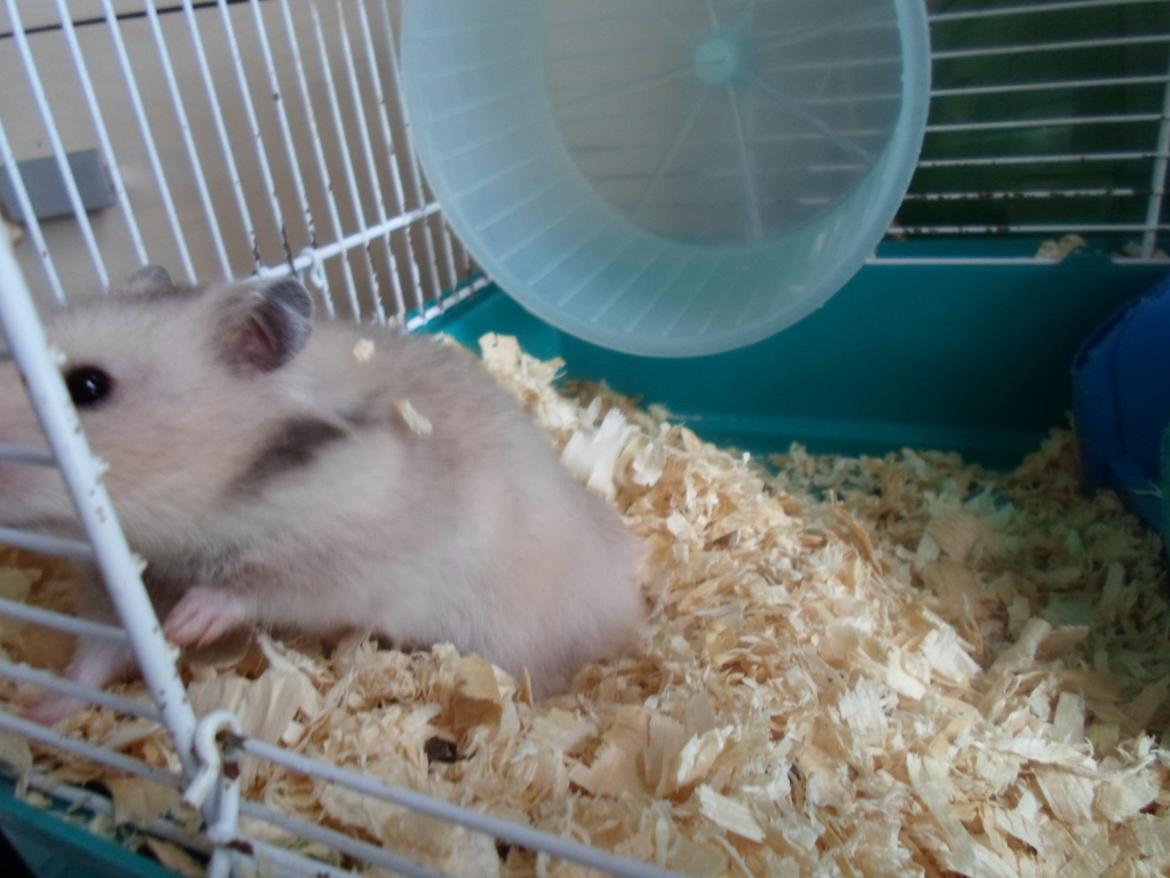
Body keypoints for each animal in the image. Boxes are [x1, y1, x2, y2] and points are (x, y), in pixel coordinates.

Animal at [0, 267, 646, 723]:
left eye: (86, 385)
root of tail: (631, 604)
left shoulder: (341, 551)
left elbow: (257, 585)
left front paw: (189, 623)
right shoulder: (117, 584)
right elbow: (99, 651)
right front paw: (36, 708)